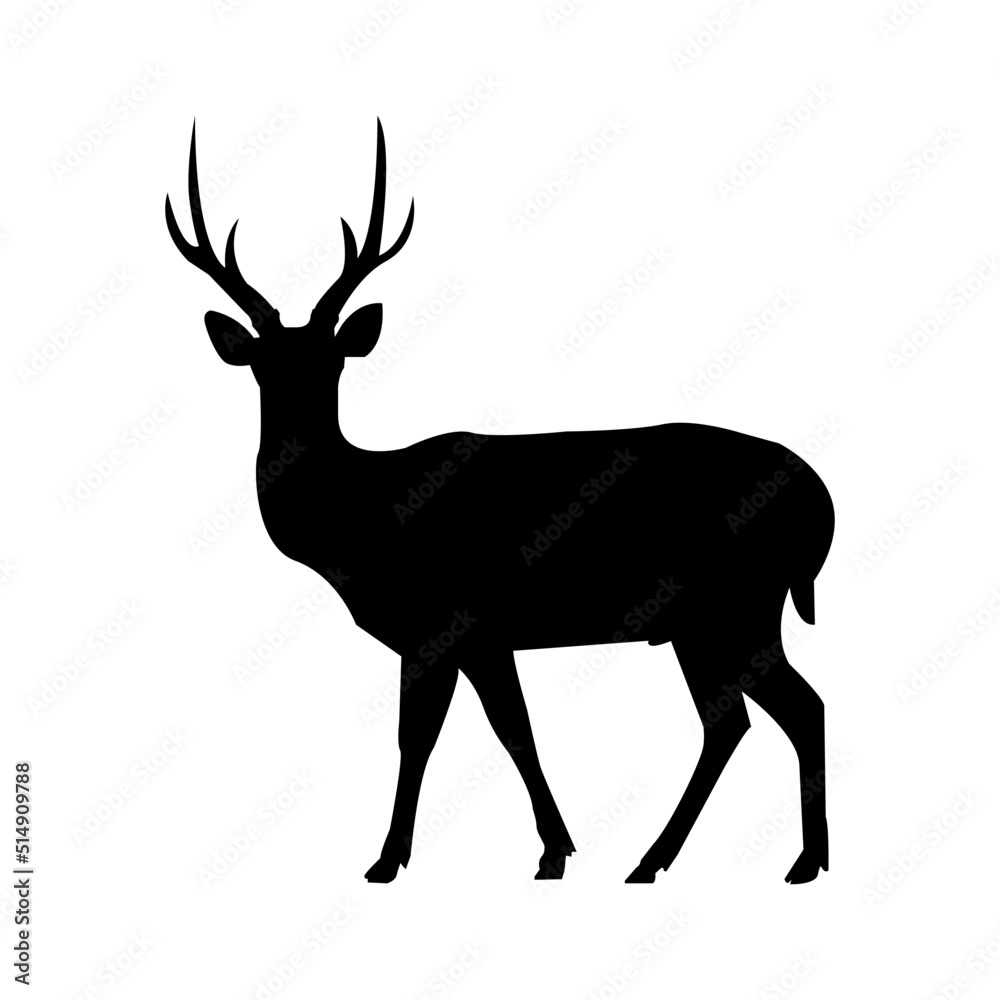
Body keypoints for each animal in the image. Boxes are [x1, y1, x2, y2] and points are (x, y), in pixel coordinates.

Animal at [166, 120, 835, 885]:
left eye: (331, 363)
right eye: (261, 365)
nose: (295, 440)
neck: (365, 526)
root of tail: (823, 502)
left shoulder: (449, 619)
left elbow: (442, 735)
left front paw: (396, 861)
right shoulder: (473, 637)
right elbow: (500, 729)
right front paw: (551, 850)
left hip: (738, 603)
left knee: (793, 709)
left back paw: (795, 862)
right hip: (706, 621)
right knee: (738, 720)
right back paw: (662, 861)